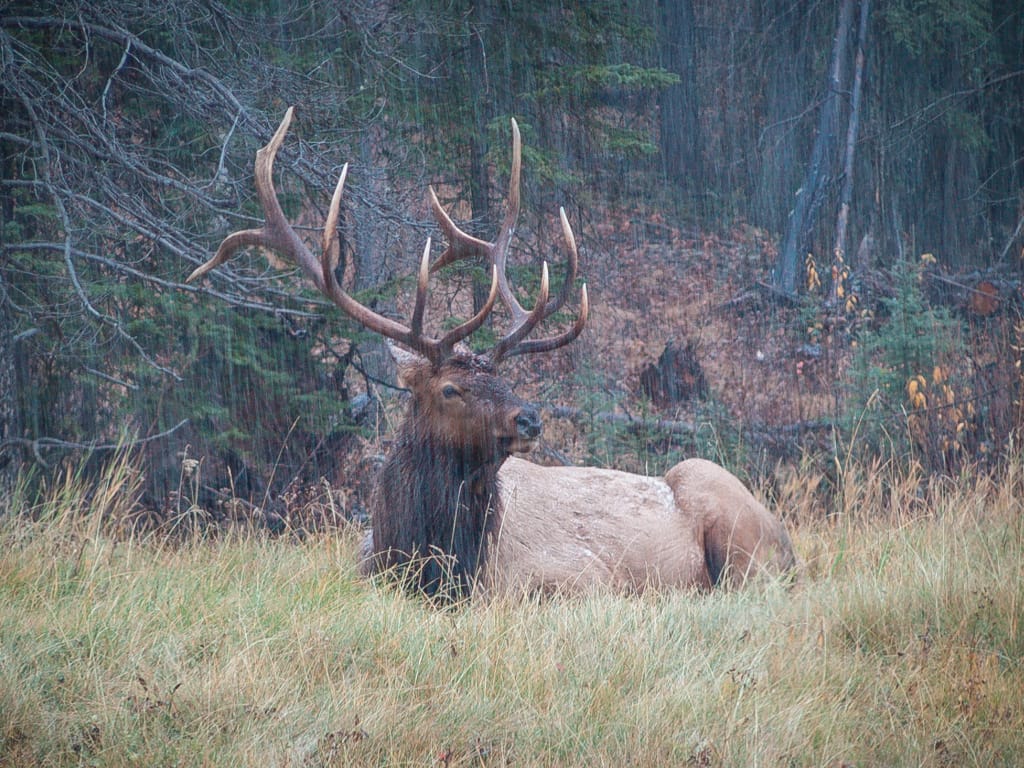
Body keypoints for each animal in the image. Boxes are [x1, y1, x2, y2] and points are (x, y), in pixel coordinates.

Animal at [188, 107, 796, 600]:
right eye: (450, 388)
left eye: (505, 379)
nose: (530, 418)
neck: (432, 565)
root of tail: (791, 547)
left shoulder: (586, 579)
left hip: (733, 524)